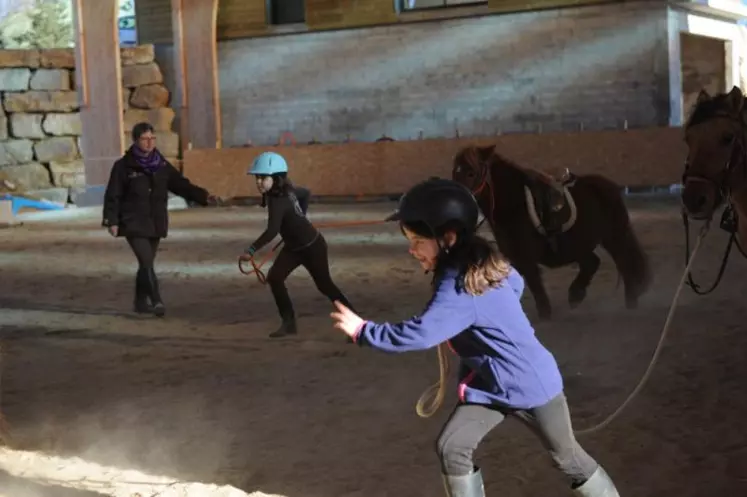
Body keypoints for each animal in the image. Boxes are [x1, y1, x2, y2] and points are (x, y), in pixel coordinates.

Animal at [452, 145, 652, 320]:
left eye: (471, 172)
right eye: (455, 171)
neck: (514, 205)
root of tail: (609, 187)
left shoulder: (526, 257)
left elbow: (534, 283)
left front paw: (544, 314)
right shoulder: (513, 257)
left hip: (613, 237)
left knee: (624, 263)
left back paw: (630, 301)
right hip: (581, 244)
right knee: (593, 263)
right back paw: (576, 295)